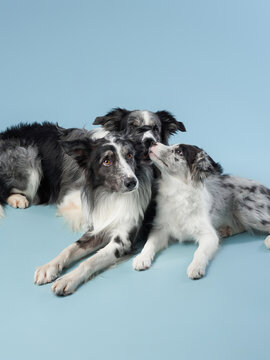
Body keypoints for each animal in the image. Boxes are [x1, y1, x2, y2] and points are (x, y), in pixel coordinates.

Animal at [132, 143, 270, 278]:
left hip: (243, 206)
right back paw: (226, 230)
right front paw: (141, 258)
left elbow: (200, 252)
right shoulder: (160, 229)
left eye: (179, 152)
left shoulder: (209, 235)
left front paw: (195, 267)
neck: (177, 192)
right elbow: (149, 243)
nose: (152, 143)